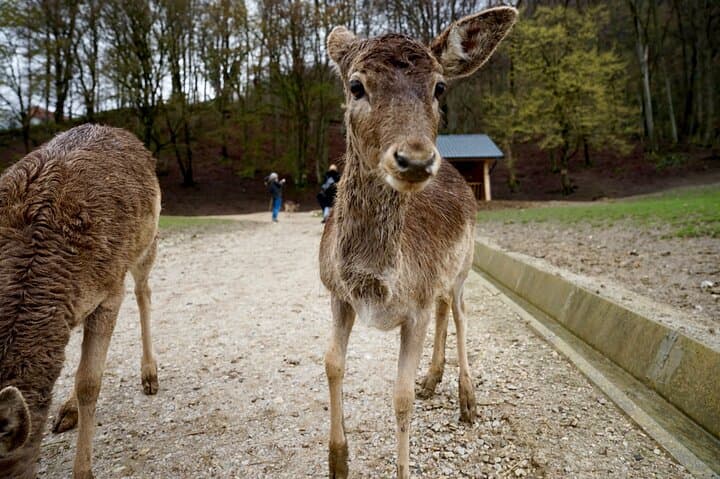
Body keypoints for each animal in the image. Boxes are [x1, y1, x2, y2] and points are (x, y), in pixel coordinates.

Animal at [0, 124, 161, 479]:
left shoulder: (110, 291)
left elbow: (89, 382)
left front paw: (84, 471)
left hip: (147, 242)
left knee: (143, 291)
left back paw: (150, 376)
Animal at [318, 7, 518, 478]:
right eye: (356, 85)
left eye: (439, 87)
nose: (415, 159)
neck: (372, 284)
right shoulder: (337, 293)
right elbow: (333, 364)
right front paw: (338, 461)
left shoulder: (415, 308)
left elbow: (400, 396)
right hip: (441, 276)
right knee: (446, 309)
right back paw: (434, 379)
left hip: (466, 263)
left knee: (460, 312)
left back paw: (466, 400)